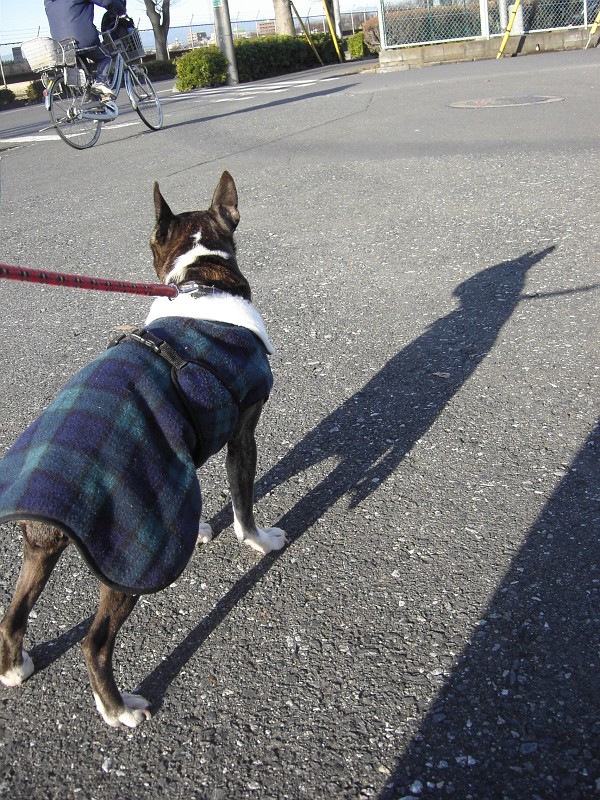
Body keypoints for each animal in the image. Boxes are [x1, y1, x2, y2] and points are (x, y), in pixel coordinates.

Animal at [0, 171, 286, 728]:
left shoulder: (177, 448)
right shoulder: (242, 433)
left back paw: (14, 669)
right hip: (126, 561)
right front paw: (258, 541)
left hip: (40, 548)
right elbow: (243, 502)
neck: (201, 279)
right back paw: (118, 710)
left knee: (12, 615)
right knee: (94, 642)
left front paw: (198, 532)